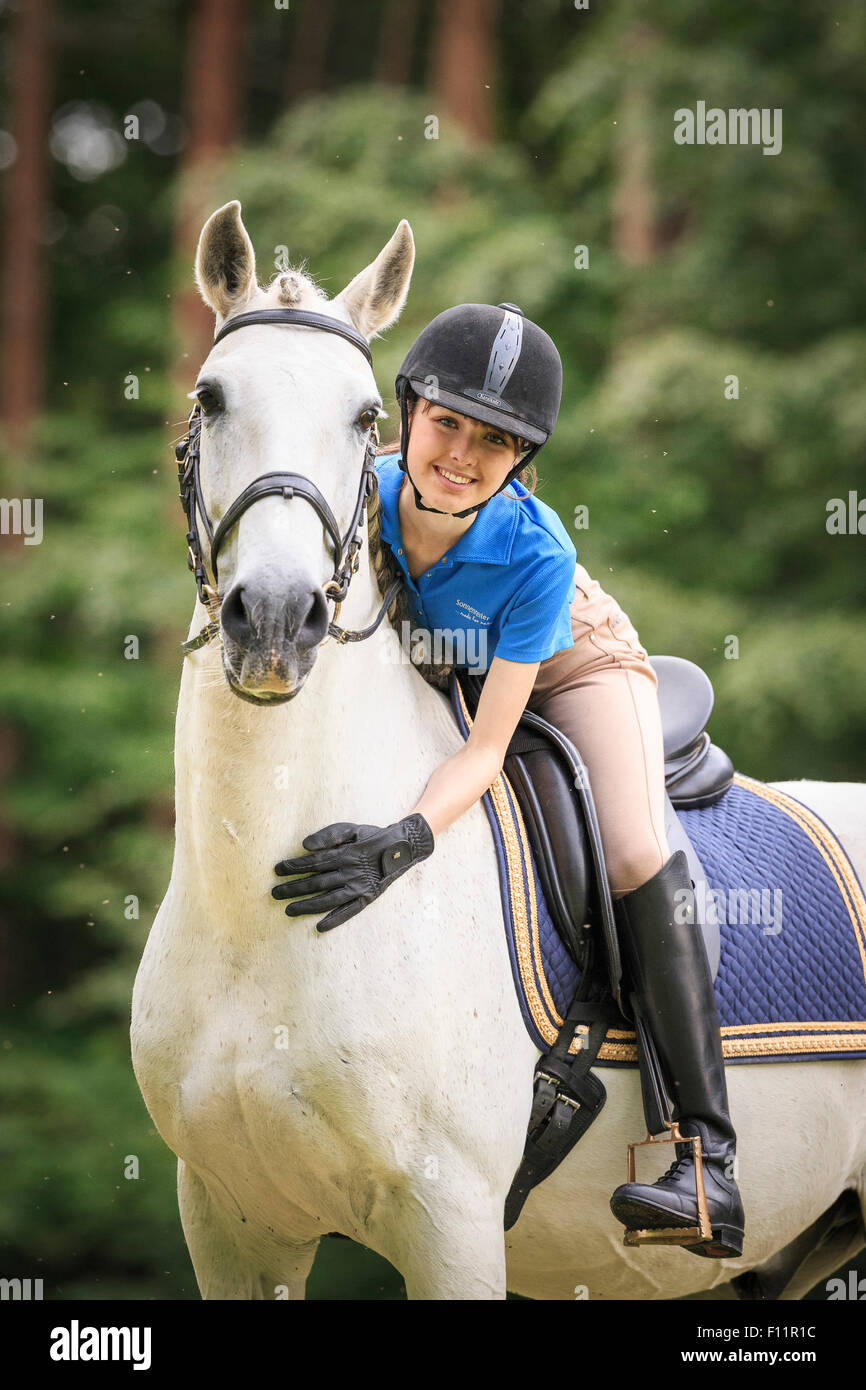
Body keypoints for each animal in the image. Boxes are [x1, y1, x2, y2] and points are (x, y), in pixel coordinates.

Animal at [130, 198, 866, 1301]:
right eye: (210, 398)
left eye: (364, 418)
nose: (277, 619)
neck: (251, 924)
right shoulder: (230, 1223)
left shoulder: (449, 1219)